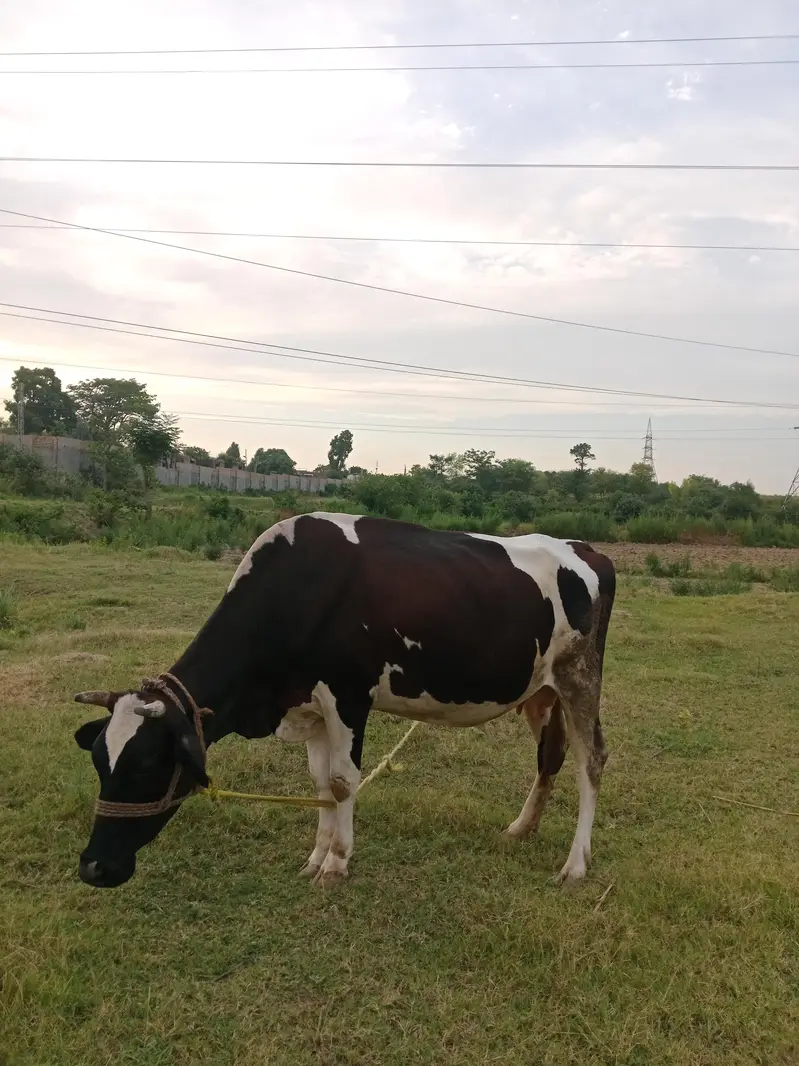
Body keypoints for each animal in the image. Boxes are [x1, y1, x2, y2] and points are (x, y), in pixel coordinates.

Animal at [72, 512, 615, 890]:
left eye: (146, 766)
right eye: (98, 762)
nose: (94, 868)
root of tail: (586, 548)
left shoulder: (349, 697)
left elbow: (341, 781)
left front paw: (336, 864)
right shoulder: (310, 708)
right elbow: (319, 783)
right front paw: (317, 856)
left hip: (580, 678)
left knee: (591, 760)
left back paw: (575, 865)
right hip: (540, 691)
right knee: (550, 755)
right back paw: (521, 828)